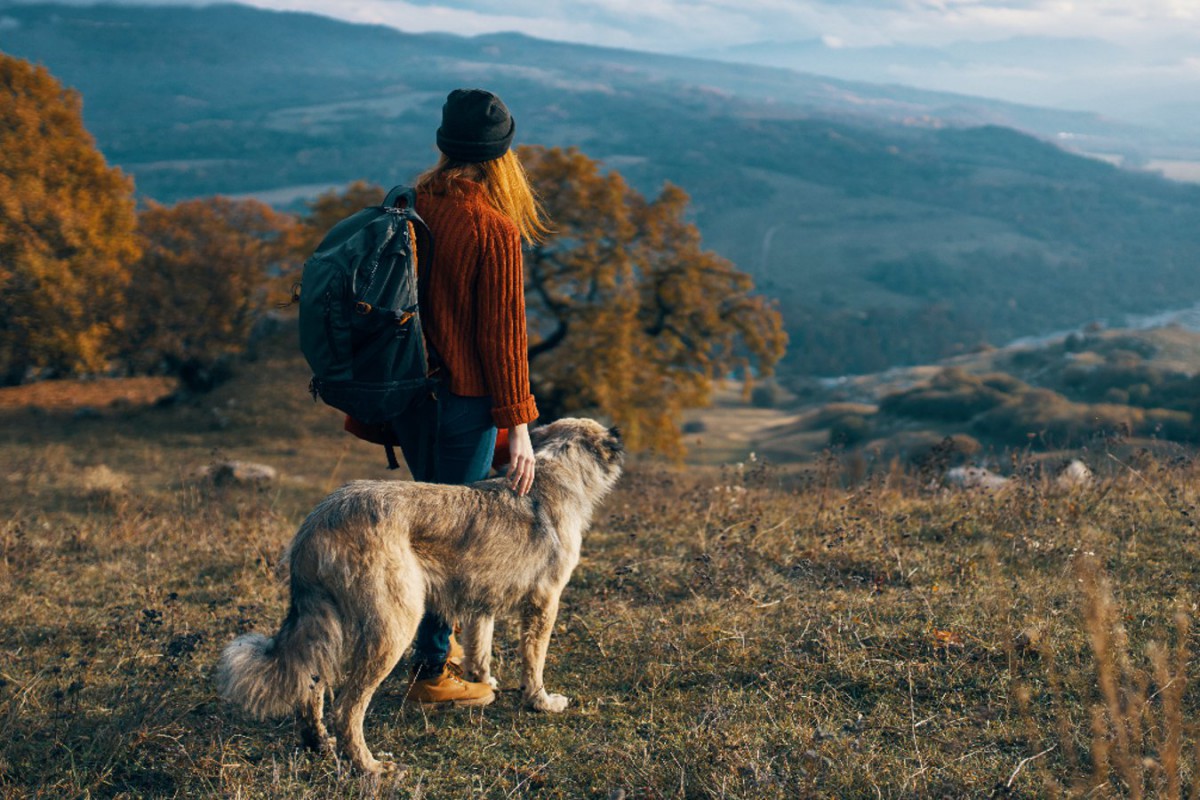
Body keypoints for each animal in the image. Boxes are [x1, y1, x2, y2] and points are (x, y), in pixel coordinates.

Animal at [218, 419, 628, 777]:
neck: (557, 472)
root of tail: (318, 520)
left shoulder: (481, 603)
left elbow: (480, 648)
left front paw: (484, 681)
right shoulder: (544, 603)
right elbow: (534, 661)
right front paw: (540, 702)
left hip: (327, 624)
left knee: (312, 685)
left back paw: (319, 743)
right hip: (394, 625)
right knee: (347, 709)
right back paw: (369, 767)